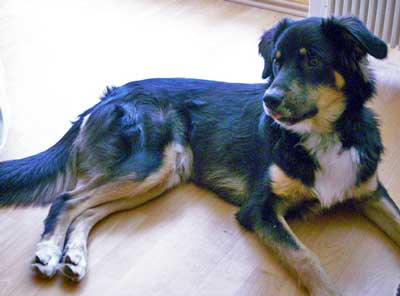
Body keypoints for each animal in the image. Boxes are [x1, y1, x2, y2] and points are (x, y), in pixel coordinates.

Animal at [0, 16, 400, 296]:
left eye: (313, 60)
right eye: (277, 62)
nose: (269, 100)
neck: (324, 135)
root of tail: (110, 94)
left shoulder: (370, 191)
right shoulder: (260, 210)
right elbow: (308, 259)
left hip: (161, 176)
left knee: (87, 210)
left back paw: (74, 257)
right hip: (151, 165)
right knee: (68, 199)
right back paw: (49, 251)